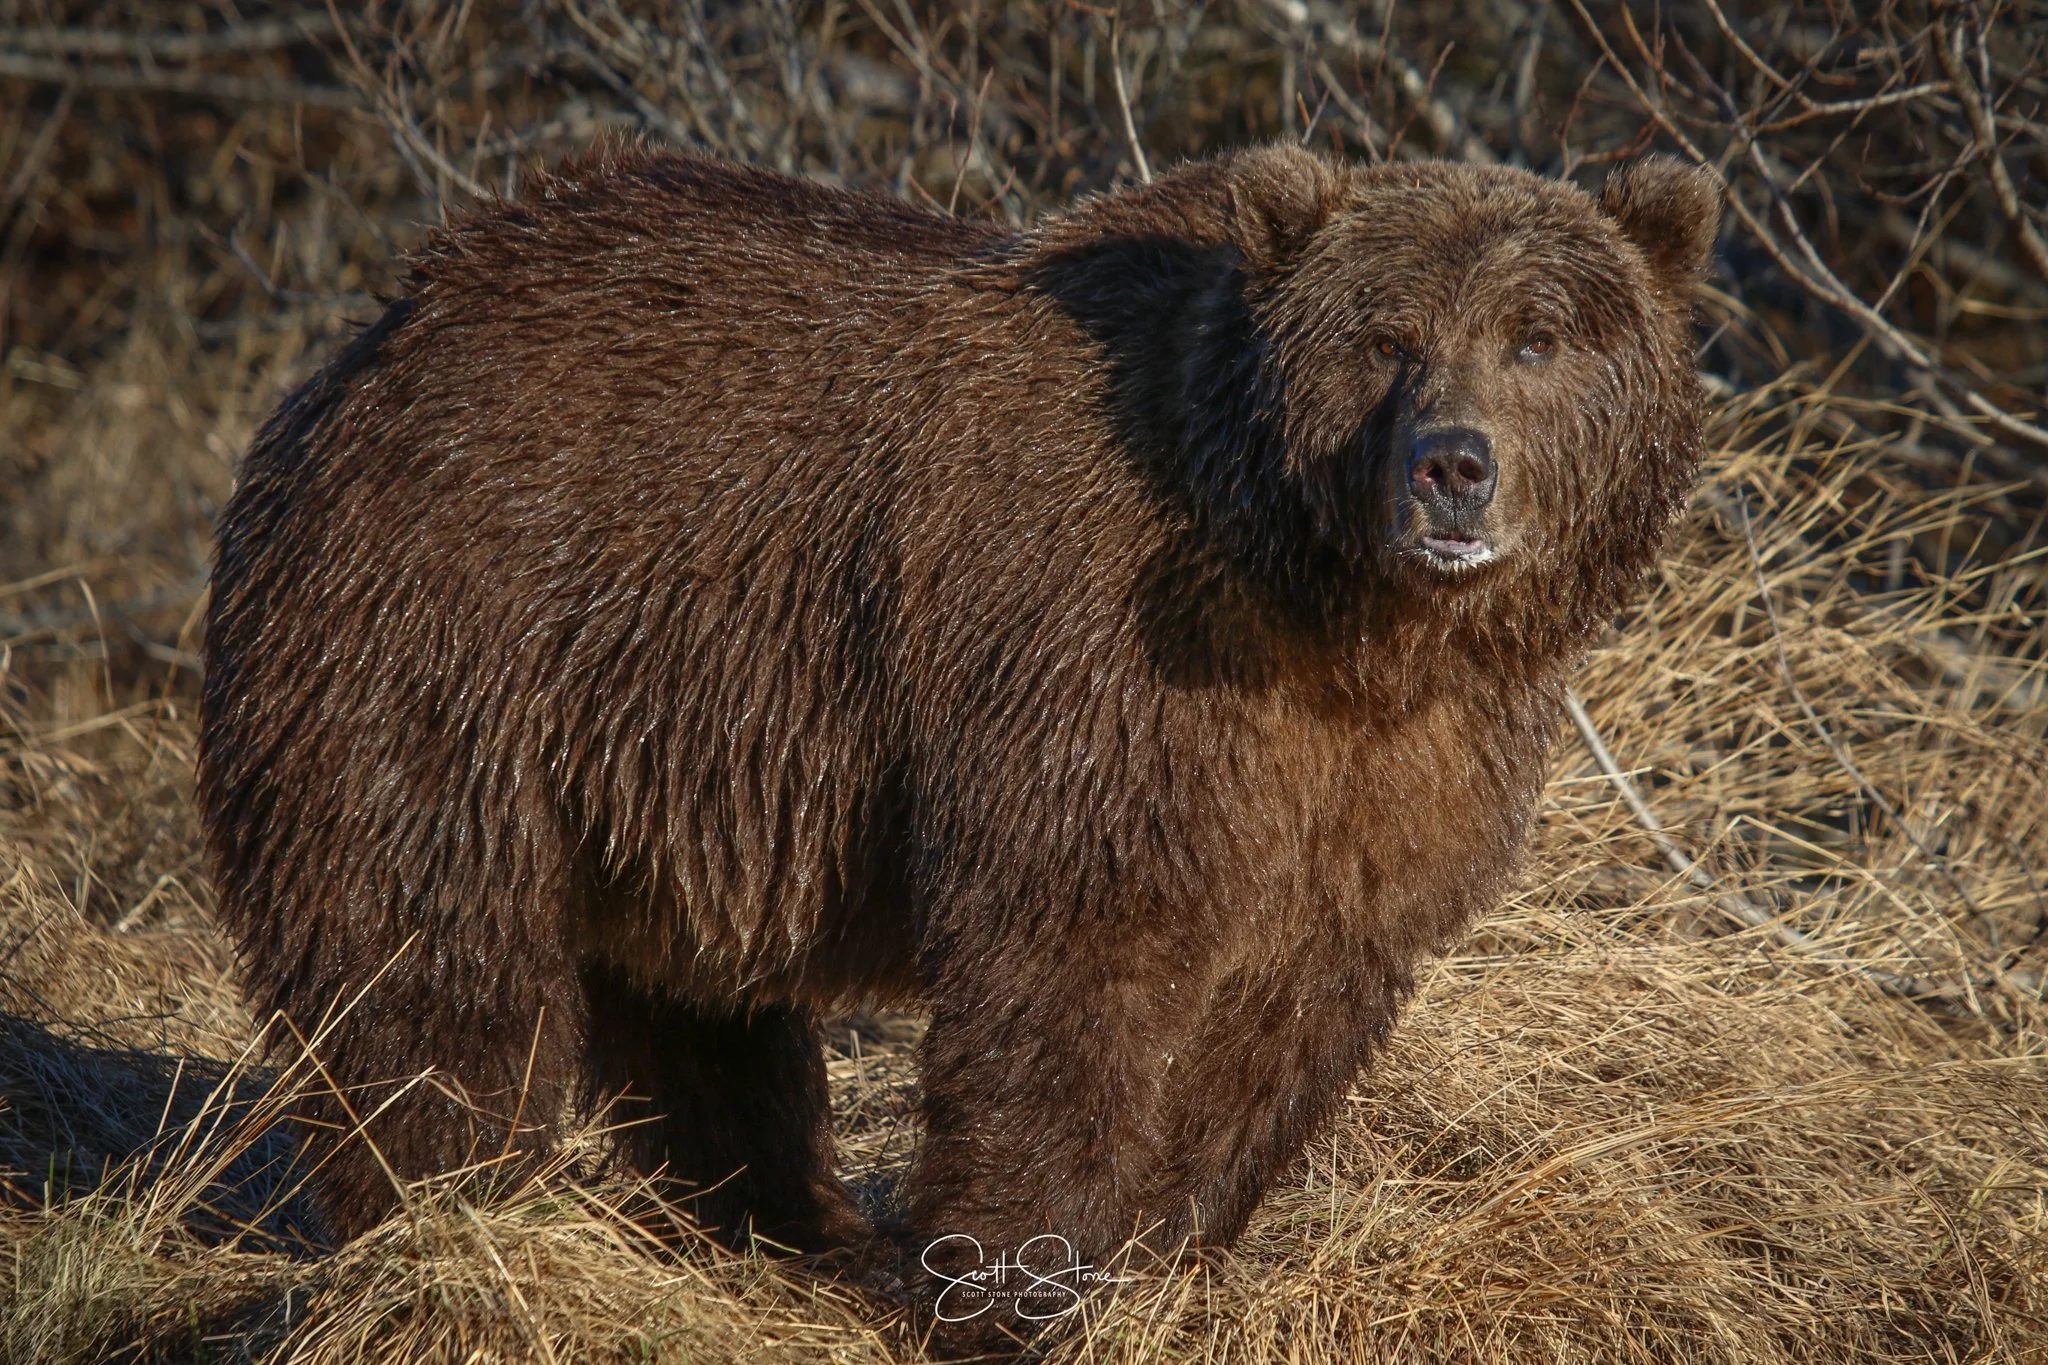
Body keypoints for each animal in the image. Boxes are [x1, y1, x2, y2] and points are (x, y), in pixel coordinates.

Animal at [198, 142, 1717, 1344]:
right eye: (1387, 336)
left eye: (1536, 336)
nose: (1452, 466)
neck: (1337, 614)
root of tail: (394, 320)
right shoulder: (1097, 674)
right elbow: (1074, 966)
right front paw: (1009, 1292)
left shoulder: (1387, 778)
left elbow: (1279, 1016)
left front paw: (1164, 1258)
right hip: (454, 635)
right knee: (426, 954)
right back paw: (452, 1223)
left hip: (651, 756)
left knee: (697, 1011)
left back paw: (789, 1233)